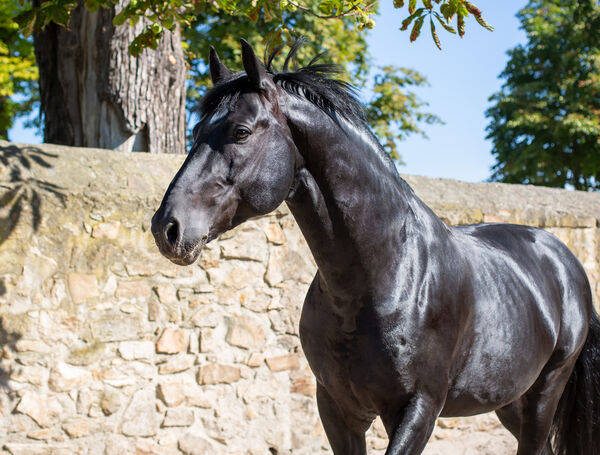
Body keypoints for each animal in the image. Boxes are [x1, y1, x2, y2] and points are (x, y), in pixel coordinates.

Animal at [151, 41, 600, 454]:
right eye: (195, 132)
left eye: (240, 132)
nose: (166, 228)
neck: (385, 277)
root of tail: (565, 262)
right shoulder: (337, 409)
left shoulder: (418, 409)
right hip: (509, 400)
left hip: (545, 393)